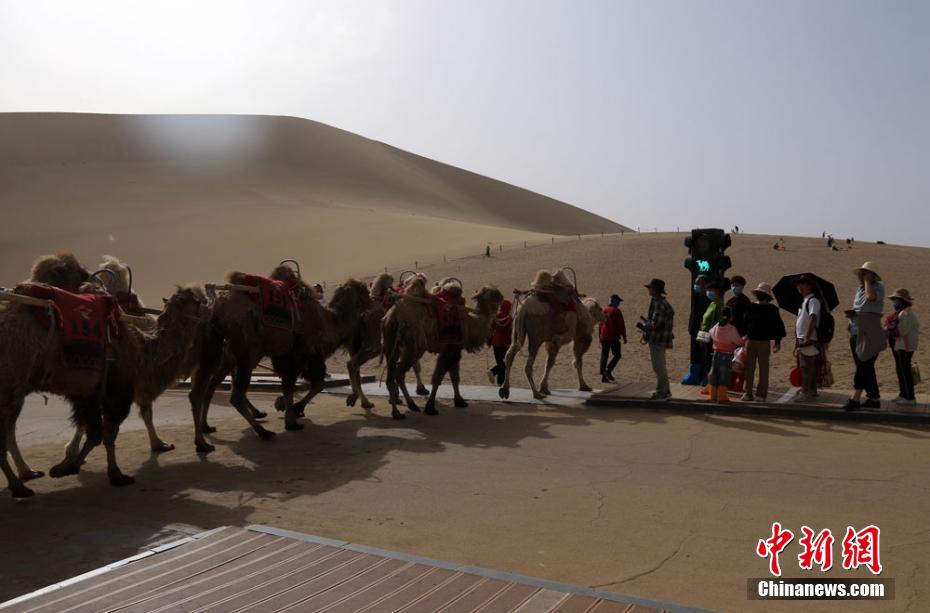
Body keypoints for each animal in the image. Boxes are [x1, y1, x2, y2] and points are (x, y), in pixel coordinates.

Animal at [0, 282, 207, 498]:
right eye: (199, 301)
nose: (209, 308)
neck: (141, 352)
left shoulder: (87, 393)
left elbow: (94, 433)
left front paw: (66, 466)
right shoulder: (117, 392)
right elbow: (107, 433)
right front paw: (116, 475)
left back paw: (26, 475)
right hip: (10, 385)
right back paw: (20, 486)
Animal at [382, 276, 504, 416]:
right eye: (493, 293)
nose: (502, 297)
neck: (470, 323)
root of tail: (393, 314)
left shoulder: (454, 348)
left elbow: (455, 377)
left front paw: (460, 401)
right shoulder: (450, 349)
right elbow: (438, 378)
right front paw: (430, 407)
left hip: (390, 343)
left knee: (390, 377)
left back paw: (397, 411)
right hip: (415, 346)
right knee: (399, 373)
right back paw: (410, 405)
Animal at [496, 270, 604, 400]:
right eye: (600, 309)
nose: (606, 316)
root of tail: (524, 308)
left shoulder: (551, 341)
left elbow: (549, 363)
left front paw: (545, 388)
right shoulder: (576, 338)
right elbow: (575, 361)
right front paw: (584, 386)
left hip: (518, 328)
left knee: (511, 353)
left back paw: (505, 389)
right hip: (536, 336)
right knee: (528, 365)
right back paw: (536, 394)